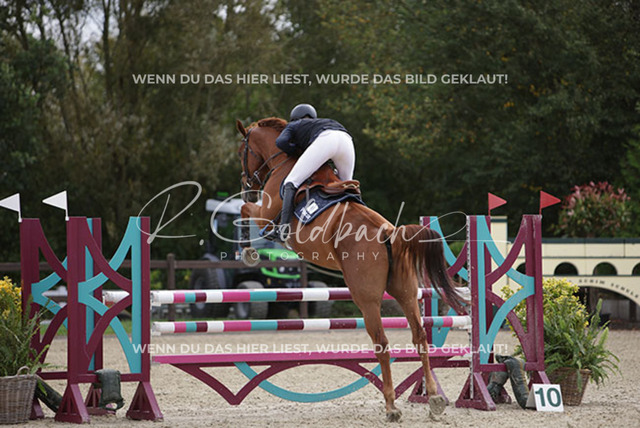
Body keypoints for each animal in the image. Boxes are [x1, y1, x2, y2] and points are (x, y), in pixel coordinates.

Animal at [235, 117, 466, 422]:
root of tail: (389, 234)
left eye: (242, 151)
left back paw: (391, 406)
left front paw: (248, 252)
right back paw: (434, 399)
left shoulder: (264, 214)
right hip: (406, 293)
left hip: (366, 299)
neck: (283, 160)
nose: (246, 186)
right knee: (419, 337)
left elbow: (244, 210)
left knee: (382, 343)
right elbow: (244, 210)